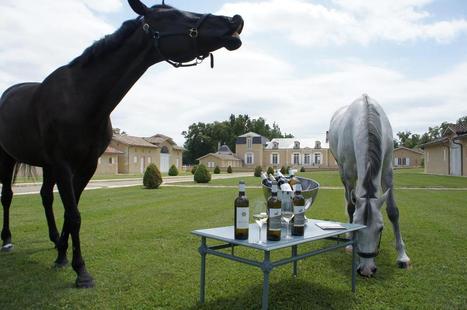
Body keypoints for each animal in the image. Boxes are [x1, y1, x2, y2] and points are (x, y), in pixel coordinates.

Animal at [0, 0, 245, 288]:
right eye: (174, 15)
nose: (235, 20)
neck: (81, 98)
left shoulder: (86, 166)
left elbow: (71, 213)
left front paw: (62, 256)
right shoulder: (63, 164)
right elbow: (74, 215)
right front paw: (81, 271)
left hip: (47, 166)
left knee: (45, 197)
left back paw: (53, 241)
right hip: (8, 157)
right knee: (7, 196)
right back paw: (7, 240)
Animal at [330, 94, 410, 276]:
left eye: (380, 229)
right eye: (357, 229)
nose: (367, 270)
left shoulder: (387, 170)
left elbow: (393, 212)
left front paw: (402, 256)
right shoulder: (349, 173)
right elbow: (351, 208)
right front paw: (350, 244)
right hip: (342, 172)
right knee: (348, 200)